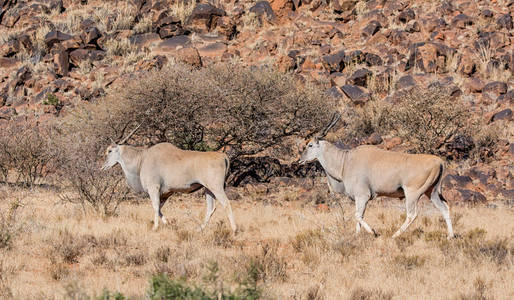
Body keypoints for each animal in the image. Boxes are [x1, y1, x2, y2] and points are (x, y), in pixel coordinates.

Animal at [101, 124, 236, 232]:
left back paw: (234, 230)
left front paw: (155, 227)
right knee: (211, 208)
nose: (103, 167)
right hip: (208, 189)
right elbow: (159, 208)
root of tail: (223, 156)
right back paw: (199, 229)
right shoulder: (166, 193)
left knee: (226, 203)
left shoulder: (154, 188)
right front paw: (168, 224)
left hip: (216, 187)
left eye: (110, 151)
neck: (142, 158)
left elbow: (155, 207)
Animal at [296, 115, 452, 239]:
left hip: (412, 193)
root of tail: (439, 162)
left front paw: (373, 232)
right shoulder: (360, 198)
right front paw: (357, 235)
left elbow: (357, 215)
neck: (345, 161)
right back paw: (450, 236)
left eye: (310, 145)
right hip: (432, 192)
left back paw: (394, 235)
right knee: (444, 208)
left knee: (412, 214)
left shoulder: (363, 196)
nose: (300, 160)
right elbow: (359, 215)